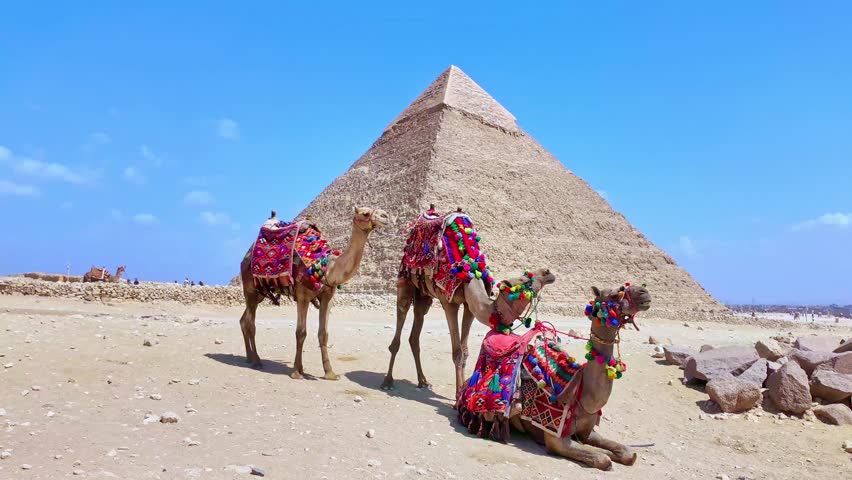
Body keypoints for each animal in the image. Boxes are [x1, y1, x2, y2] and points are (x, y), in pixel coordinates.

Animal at [238, 207, 389, 379]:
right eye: (365, 213)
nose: (385, 216)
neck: (327, 268)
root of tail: (246, 256)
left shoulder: (328, 297)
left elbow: (323, 333)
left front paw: (329, 372)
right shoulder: (302, 296)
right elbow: (301, 332)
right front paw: (297, 372)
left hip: (260, 293)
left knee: (244, 320)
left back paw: (249, 357)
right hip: (249, 287)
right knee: (251, 324)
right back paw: (257, 361)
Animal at [456, 283, 652, 471]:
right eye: (615, 294)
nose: (644, 292)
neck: (580, 392)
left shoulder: (588, 431)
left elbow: (628, 453)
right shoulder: (555, 436)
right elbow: (602, 458)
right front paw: (605, 455)